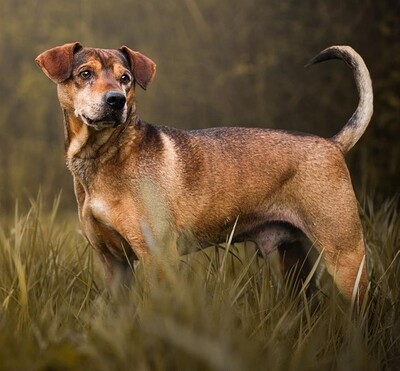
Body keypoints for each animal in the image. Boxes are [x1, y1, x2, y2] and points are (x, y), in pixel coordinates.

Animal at [36, 42, 374, 302]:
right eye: (85, 74)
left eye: (126, 78)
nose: (116, 100)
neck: (106, 155)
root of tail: (333, 144)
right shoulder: (114, 262)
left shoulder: (159, 256)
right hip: (294, 260)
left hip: (345, 255)